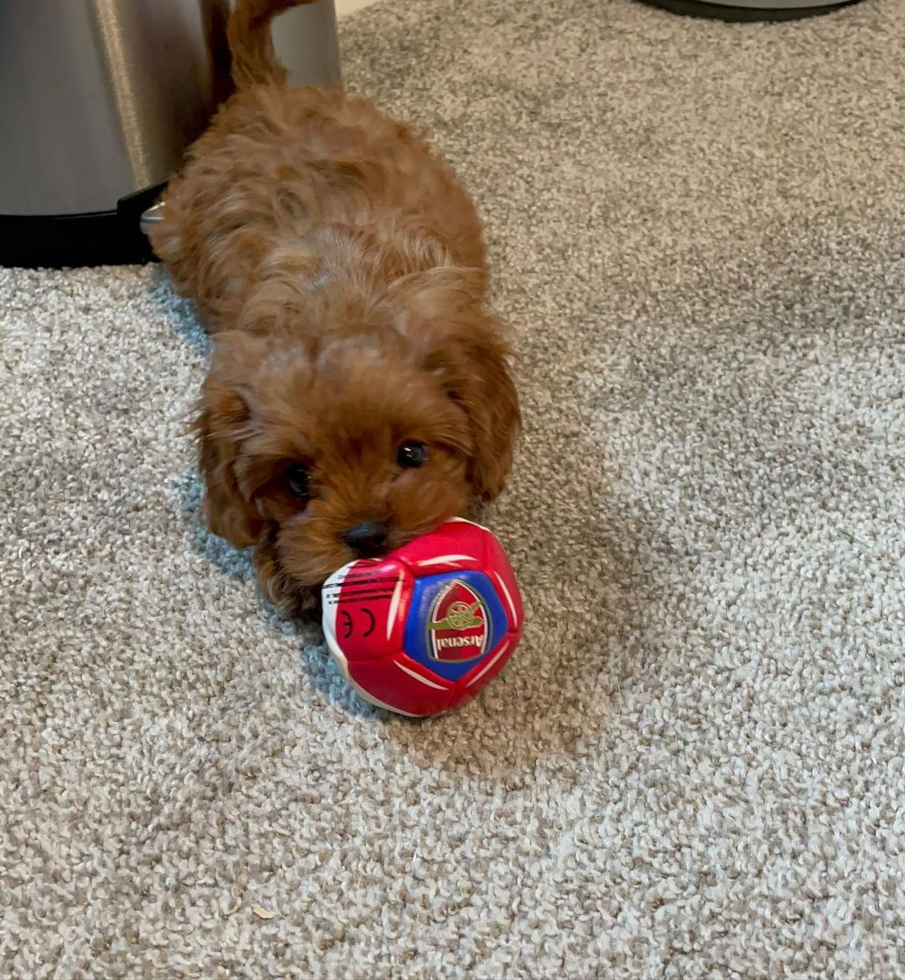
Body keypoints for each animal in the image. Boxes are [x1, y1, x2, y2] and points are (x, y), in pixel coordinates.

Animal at [147, 1, 516, 612]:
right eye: (297, 480)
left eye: (411, 454)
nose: (367, 537)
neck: (342, 300)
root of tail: (266, 90)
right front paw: (286, 568)